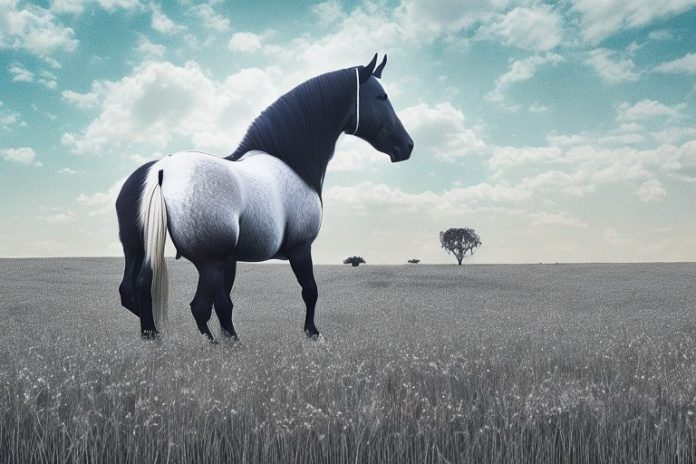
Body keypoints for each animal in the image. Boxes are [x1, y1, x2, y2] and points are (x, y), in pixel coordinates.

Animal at [115, 54, 414, 341]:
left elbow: (225, 306)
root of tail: (162, 170)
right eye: (381, 96)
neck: (292, 163)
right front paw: (312, 333)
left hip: (140, 250)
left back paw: (157, 337)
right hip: (209, 263)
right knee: (197, 306)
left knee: (136, 289)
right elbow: (309, 291)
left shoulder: (231, 260)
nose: (407, 146)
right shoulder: (300, 248)